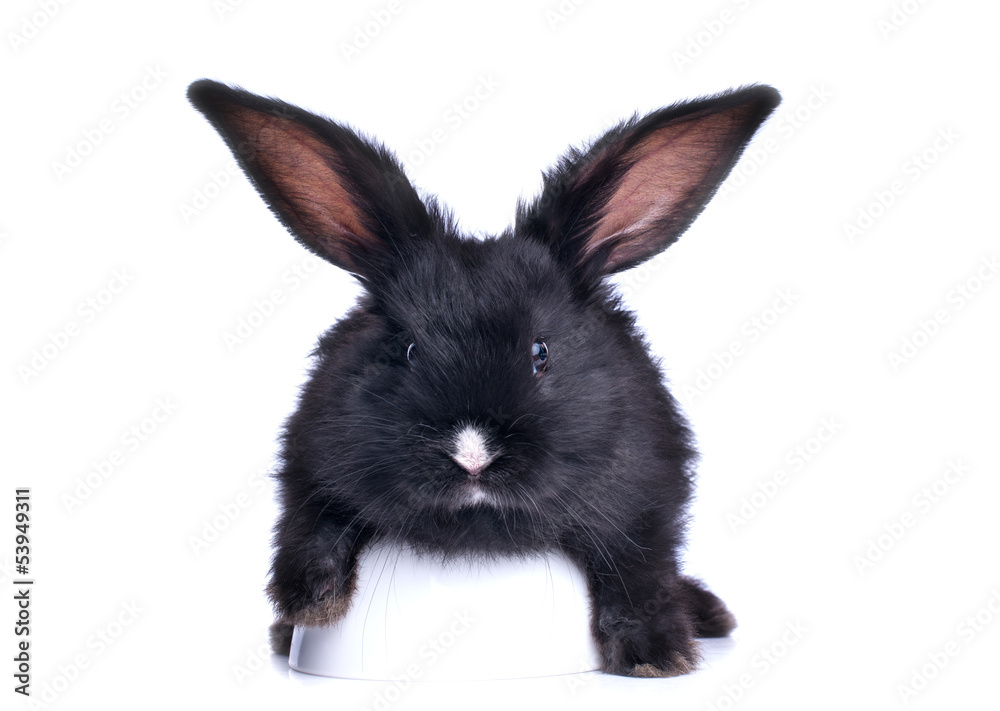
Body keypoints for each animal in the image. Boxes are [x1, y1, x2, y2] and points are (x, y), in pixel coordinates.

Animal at [188, 79, 780, 677]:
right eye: (408, 350)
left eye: (541, 352)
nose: (472, 454)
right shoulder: (311, 465)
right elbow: (312, 522)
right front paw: (309, 601)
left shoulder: (646, 501)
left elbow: (636, 568)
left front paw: (657, 656)